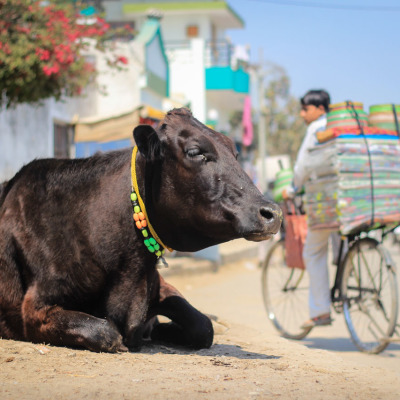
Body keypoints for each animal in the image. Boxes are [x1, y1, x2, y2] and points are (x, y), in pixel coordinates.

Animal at [0, 108, 282, 352]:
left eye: (235, 152)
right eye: (195, 151)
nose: (273, 213)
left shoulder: (157, 282)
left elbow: (202, 327)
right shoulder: (34, 309)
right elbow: (106, 332)